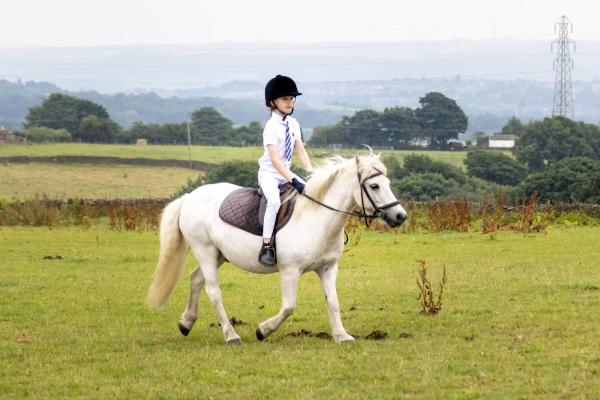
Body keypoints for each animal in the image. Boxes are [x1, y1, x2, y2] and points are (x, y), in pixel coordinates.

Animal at [147, 153, 406, 344]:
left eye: (388, 183)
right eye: (374, 185)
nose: (400, 216)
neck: (316, 217)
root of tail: (190, 196)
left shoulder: (328, 268)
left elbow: (333, 301)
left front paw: (342, 336)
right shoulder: (290, 271)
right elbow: (289, 307)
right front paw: (263, 330)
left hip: (219, 255)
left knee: (196, 280)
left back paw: (186, 323)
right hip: (206, 251)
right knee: (213, 292)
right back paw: (231, 335)